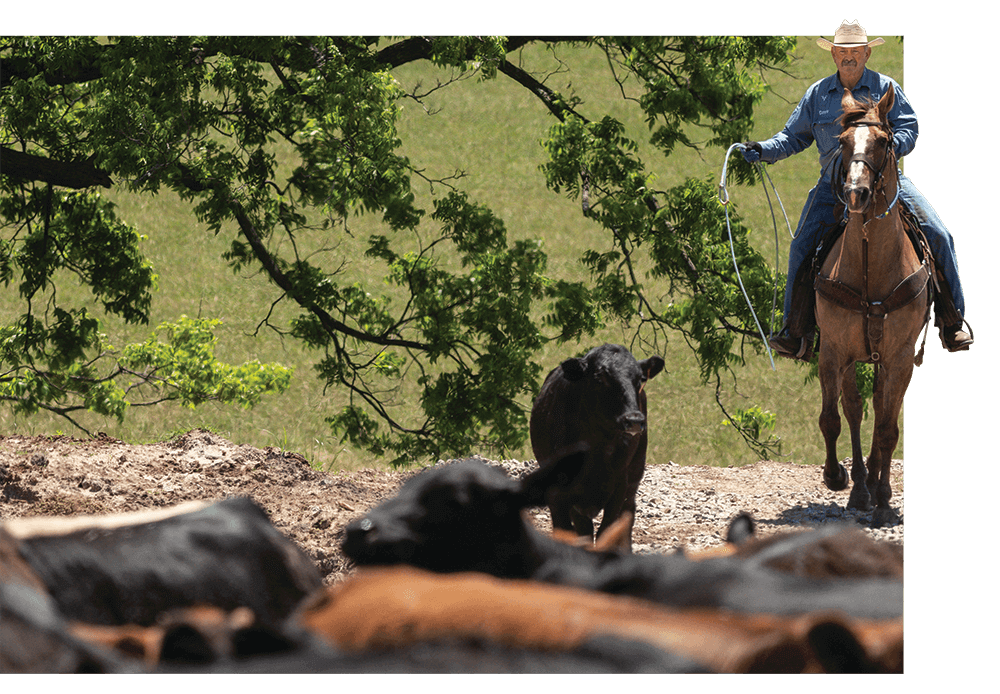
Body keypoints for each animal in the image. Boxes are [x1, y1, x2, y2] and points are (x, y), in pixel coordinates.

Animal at [532, 344, 664, 556]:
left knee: (627, 516)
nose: (634, 420)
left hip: (634, 475)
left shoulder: (619, 485)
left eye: (640, 379)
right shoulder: (559, 494)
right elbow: (568, 532)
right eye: (600, 378)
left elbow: (607, 531)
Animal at [812, 87, 928, 532]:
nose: (856, 194)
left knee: (881, 413)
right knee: (856, 410)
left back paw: (878, 489)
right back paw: (860, 488)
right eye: (844, 142)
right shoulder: (833, 352)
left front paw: (882, 501)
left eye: (882, 141)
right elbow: (834, 417)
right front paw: (836, 477)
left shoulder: (899, 359)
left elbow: (888, 428)